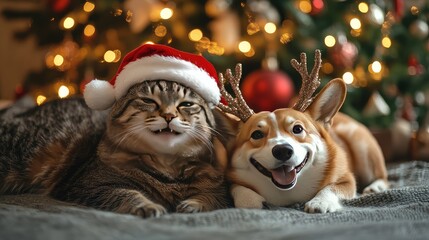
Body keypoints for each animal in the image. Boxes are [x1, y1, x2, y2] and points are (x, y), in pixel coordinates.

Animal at [0, 80, 231, 218]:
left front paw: (194, 204)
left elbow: (213, 197)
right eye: (148, 100)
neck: (167, 166)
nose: (168, 115)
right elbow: (126, 193)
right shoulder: (91, 183)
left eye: (186, 104)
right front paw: (147, 205)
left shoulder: (221, 190)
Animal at [214, 51, 388, 213]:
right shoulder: (232, 181)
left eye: (297, 129)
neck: (289, 193)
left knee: (383, 176)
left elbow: (331, 188)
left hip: (362, 147)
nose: (283, 151)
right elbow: (239, 190)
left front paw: (320, 202)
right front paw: (252, 201)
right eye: (256, 135)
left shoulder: (346, 179)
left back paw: (375, 187)